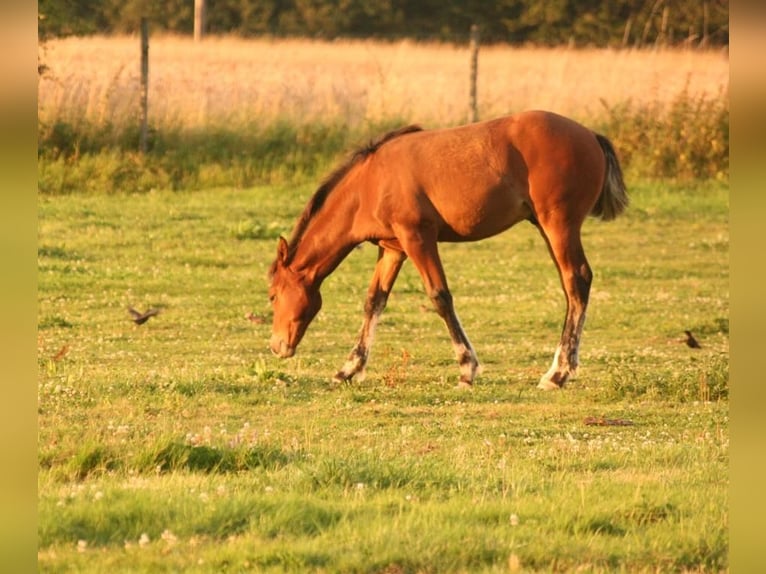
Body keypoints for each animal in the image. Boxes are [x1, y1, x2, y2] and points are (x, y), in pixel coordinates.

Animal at [268, 111, 628, 392]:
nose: (276, 346)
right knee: (572, 286)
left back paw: (557, 373)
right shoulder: (393, 249)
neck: (370, 183)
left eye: (272, 295)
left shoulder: (418, 239)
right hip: (547, 228)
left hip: (558, 226)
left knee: (576, 281)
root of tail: (590, 135)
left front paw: (467, 369)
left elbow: (440, 297)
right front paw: (348, 369)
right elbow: (374, 302)